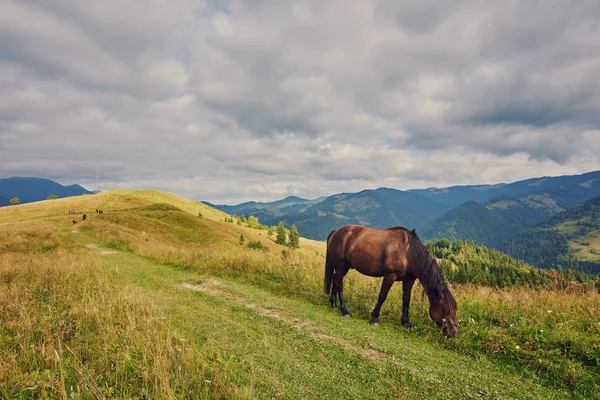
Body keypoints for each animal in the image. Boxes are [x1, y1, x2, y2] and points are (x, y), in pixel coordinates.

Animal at [324, 223, 460, 336]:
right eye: (444, 308)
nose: (454, 332)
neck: (408, 252)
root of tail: (336, 231)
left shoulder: (409, 280)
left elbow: (406, 300)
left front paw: (406, 322)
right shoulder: (390, 276)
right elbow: (382, 296)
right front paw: (374, 318)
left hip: (341, 267)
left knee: (335, 280)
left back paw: (333, 304)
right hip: (342, 266)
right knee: (339, 284)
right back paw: (344, 311)